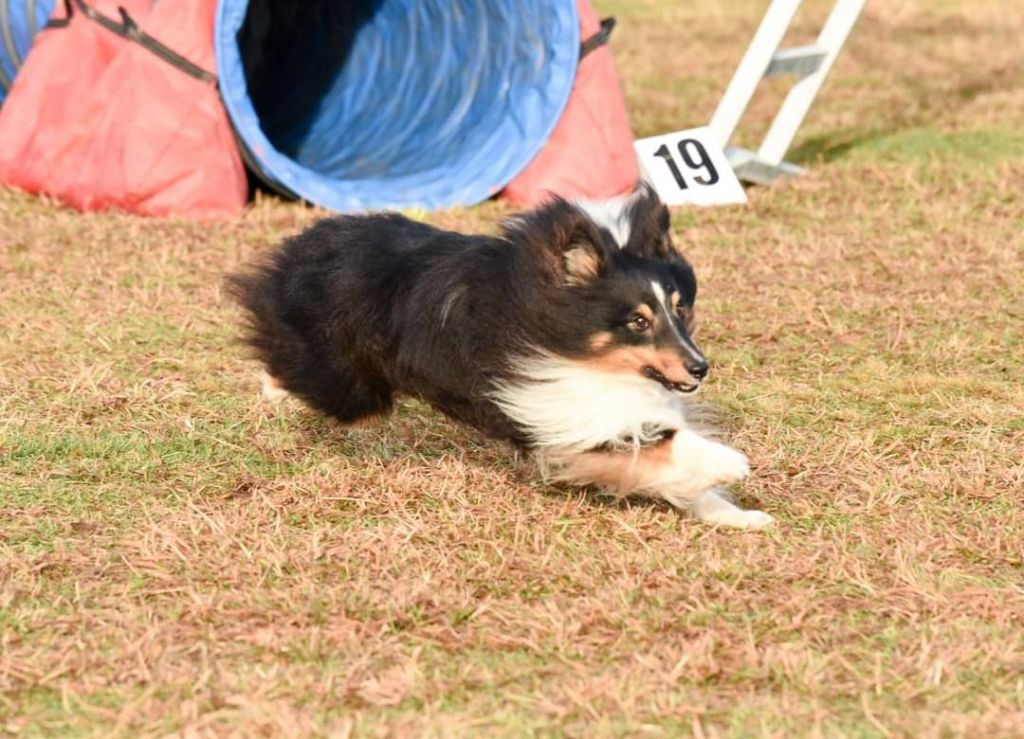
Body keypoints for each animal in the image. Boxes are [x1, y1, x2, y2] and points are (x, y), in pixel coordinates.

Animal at [232, 187, 770, 528]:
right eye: (637, 321)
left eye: (680, 309)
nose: (700, 368)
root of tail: (312, 237)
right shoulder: (555, 411)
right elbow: (654, 444)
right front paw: (729, 463)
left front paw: (739, 516)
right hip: (347, 383)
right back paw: (270, 388)